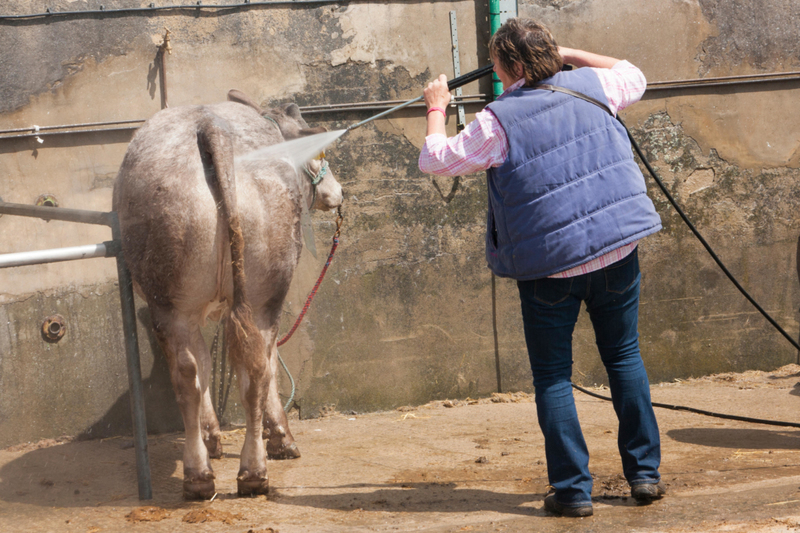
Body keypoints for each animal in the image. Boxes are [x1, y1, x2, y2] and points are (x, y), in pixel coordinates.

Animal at [111, 89, 342, 496]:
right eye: (320, 152)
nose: (338, 192)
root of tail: (210, 125)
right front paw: (278, 437)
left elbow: (206, 366)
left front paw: (213, 437)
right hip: (259, 295)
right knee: (253, 366)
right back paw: (241, 471)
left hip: (177, 298)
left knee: (193, 371)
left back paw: (210, 474)